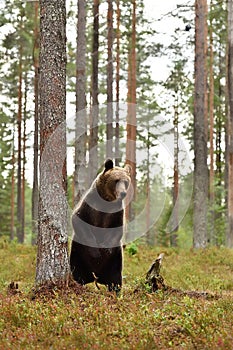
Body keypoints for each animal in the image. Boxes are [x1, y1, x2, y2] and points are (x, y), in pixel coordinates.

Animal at [69, 159, 131, 292]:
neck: (106, 201)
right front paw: (96, 252)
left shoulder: (116, 212)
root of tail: (96, 276)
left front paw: (106, 249)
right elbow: (79, 220)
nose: (123, 193)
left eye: (126, 181)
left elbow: (117, 229)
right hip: (78, 253)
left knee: (115, 278)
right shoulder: (90, 205)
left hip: (115, 260)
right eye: (116, 180)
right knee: (77, 272)